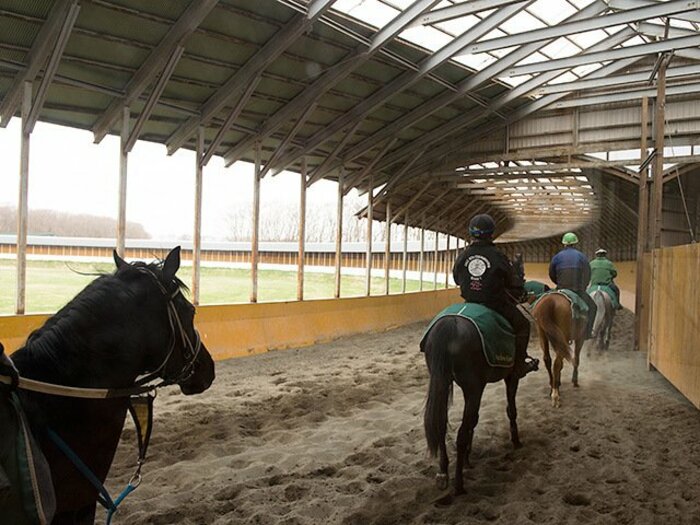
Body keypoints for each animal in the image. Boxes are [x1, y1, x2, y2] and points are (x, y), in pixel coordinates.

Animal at [422, 256, 527, 503]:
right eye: (521, 273)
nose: (525, 293)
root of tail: (450, 324)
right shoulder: (508, 378)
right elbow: (511, 409)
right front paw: (516, 441)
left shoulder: (477, 385)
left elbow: (474, 420)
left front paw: (469, 458)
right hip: (473, 387)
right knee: (460, 432)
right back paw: (459, 485)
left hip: (445, 382)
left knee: (442, 425)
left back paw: (444, 473)